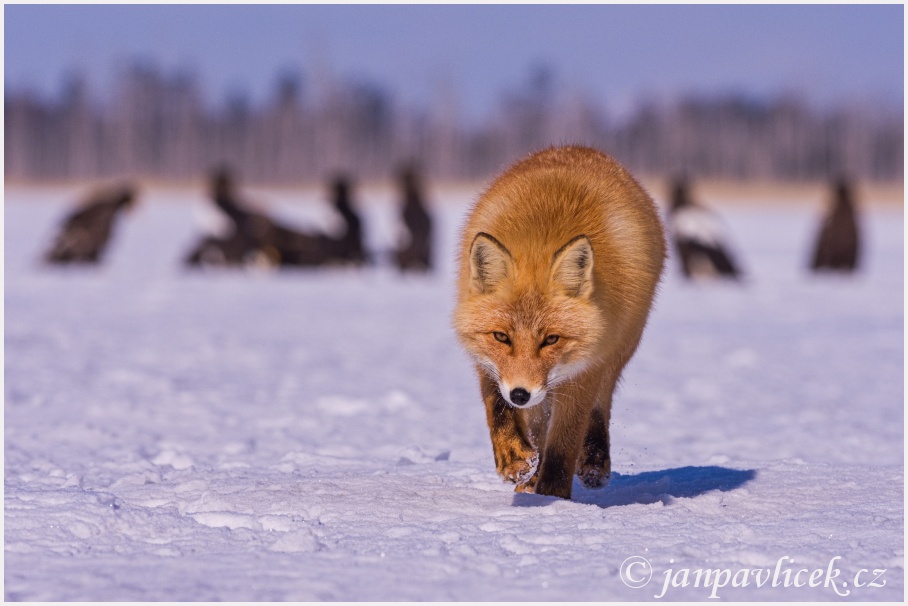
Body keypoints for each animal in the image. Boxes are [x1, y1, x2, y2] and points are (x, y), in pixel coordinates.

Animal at [454, 146, 668, 498]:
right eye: (501, 337)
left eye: (551, 339)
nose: (520, 394)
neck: (543, 234)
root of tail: (581, 149)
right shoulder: (485, 359)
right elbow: (495, 405)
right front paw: (513, 457)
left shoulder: (585, 368)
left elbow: (563, 444)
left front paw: (551, 498)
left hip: (617, 351)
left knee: (598, 410)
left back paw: (592, 463)